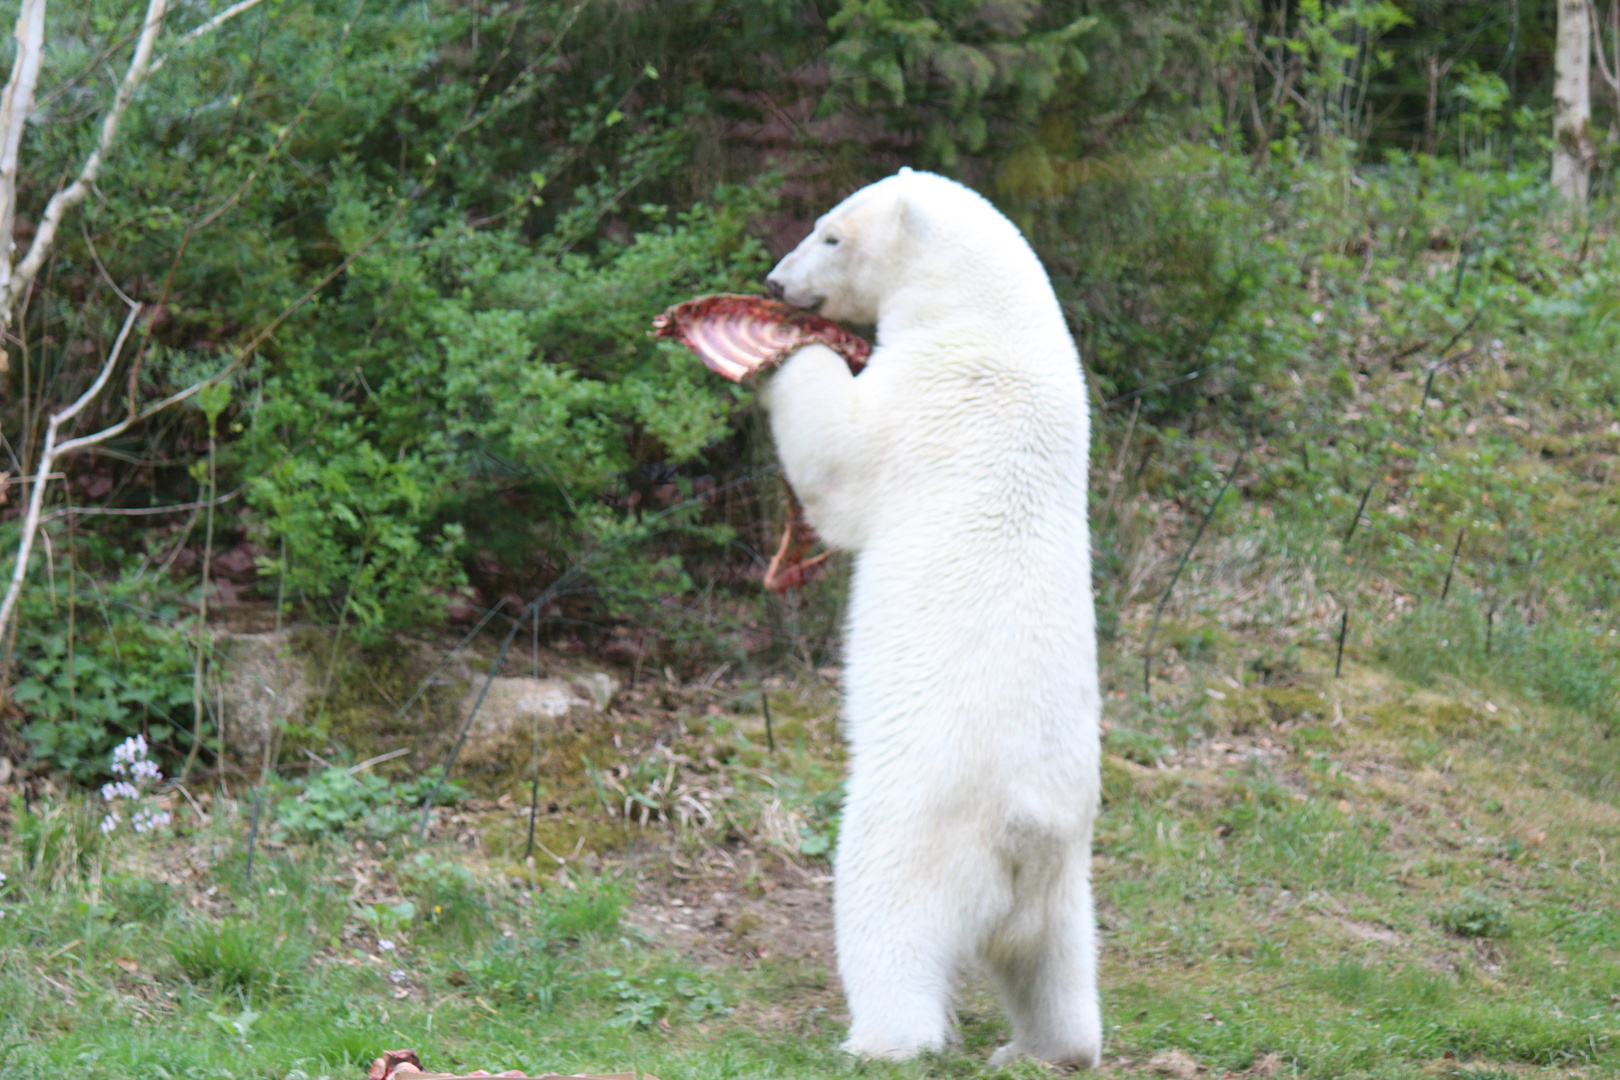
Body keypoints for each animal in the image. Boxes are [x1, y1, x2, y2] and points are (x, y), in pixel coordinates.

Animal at [761, 169, 1101, 1062]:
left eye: (830, 234)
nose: (775, 283)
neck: (991, 313)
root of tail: (1021, 827)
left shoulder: (932, 391)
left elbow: (839, 462)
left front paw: (781, 348)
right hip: (1066, 870)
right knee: (1057, 961)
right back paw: (1047, 1048)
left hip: (921, 825)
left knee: (886, 916)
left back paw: (876, 1042)